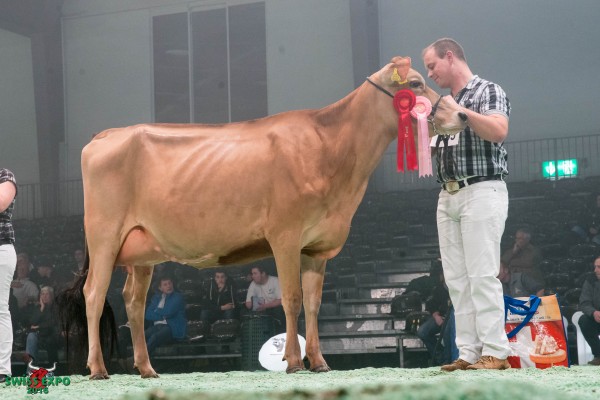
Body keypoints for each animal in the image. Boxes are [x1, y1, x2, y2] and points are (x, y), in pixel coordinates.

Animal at [59, 56, 466, 379]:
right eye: (416, 84)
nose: (461, 114)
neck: (332, 152)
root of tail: (105, 135)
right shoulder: (285, 234)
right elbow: (291, 298)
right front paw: (293, 362)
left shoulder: (317, 245)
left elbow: (313, 302)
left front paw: (319, 361)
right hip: (104, 236)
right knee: (94, 294)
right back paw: (98, 368)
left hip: (142, 251)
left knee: (134, 301)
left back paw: (146, 368)